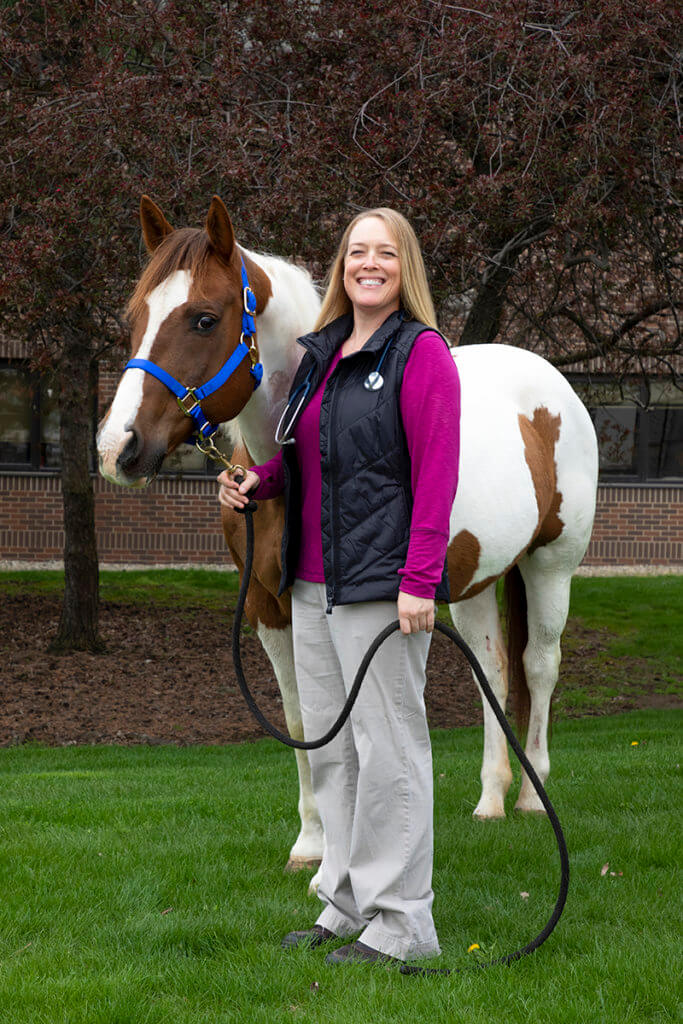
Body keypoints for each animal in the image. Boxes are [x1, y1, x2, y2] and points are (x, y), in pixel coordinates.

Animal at [96, 195, 598, 876]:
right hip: (472, 581)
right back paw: (491, 800)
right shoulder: (269, 608)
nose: (116, 448)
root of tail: (550, 382)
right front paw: (311, 845)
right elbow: (301, 718)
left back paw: (529, 798)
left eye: (203, 319)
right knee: (491, 673)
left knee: (539, 666)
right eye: (136, 316)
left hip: (551, 565)